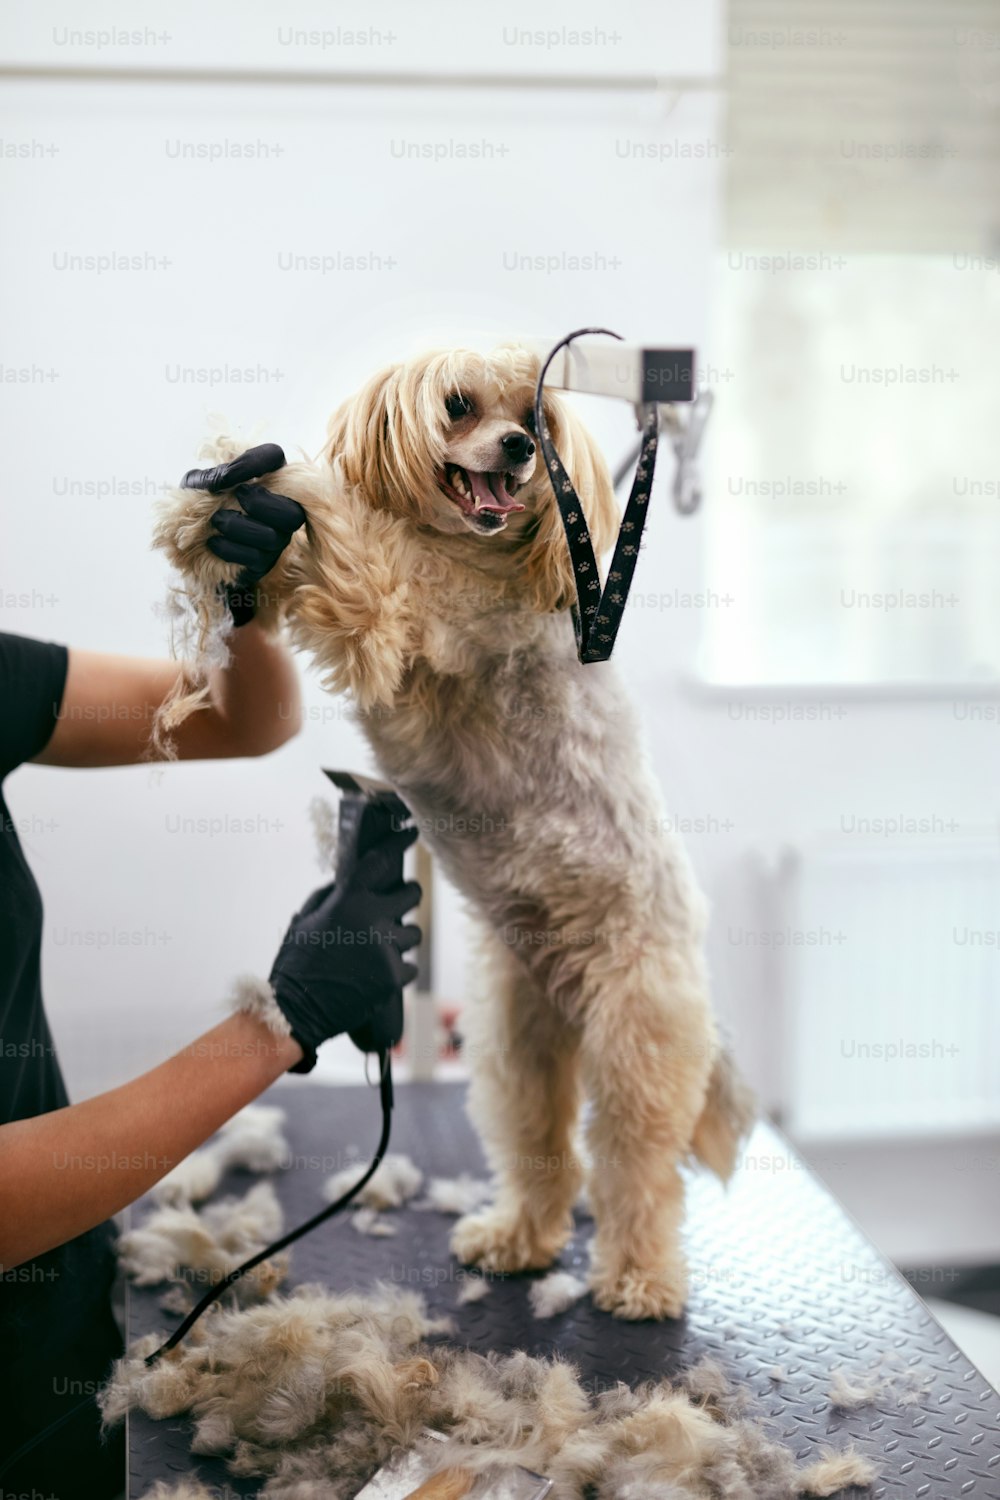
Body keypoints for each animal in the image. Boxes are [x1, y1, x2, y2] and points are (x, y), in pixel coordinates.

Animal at [154, 345, 749, 1320]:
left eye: (538, 420)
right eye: (460, 405)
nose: (517, 448)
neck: (469, 549)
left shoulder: (415, 621)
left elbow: (361, 556)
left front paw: (289, 490)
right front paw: (218, 517)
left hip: (639, 1042)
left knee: (640, 1173)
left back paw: (639, 1278)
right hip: (516, 1045)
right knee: (547, 1151)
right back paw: (516, 1239)